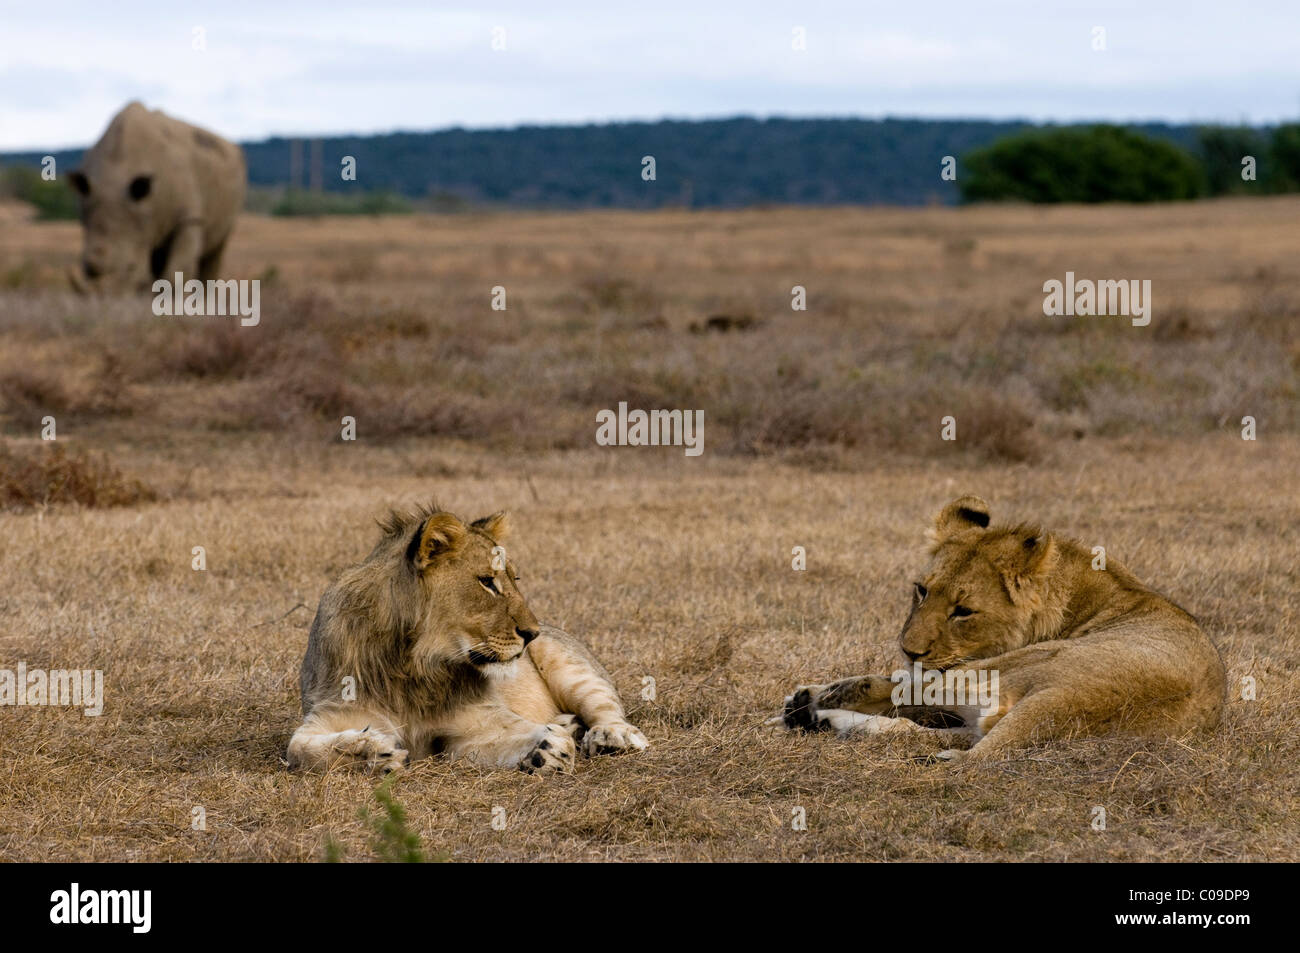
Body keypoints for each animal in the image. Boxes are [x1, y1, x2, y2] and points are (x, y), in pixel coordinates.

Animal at [287, 504, 647, 774]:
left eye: (514, 578)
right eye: (487, 582)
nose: (532, 634)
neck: (415, 666)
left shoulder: (473, 724)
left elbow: (520, 735)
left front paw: (547, 748)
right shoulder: (330, 712)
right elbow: (301, 751)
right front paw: (373, 750)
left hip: (569, 665)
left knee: (606, 705)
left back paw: (610, 736)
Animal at [780, 494, 1227, 764]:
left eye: (963, 611)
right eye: (922, 591)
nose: (909, 651)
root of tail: (1070, 700)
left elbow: (895, 685)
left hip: (996, 670)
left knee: (903, 698)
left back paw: (811, 706)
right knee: (926, 731)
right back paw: (820, 719)